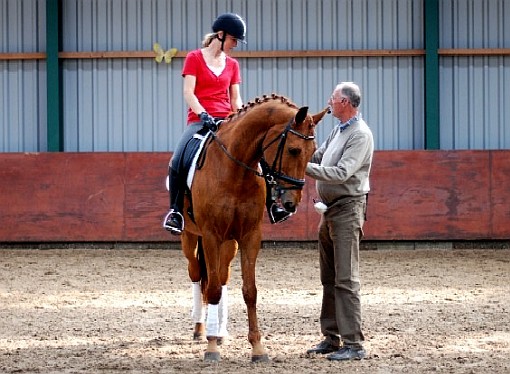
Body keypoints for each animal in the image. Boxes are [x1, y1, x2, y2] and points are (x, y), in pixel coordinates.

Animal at [181, 94, 328, 362]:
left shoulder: (250, 236)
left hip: (229, 243)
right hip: (190, 237)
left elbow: (250, 291)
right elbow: (213, 289)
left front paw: (257, 348)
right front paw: (211, 348)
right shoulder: (211, 235)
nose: (291, 203)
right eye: (293, 149)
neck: (235, 171)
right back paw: (200, 329)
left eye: (313, 152)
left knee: (223, 276)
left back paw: (220, 332)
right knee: (197, 274)